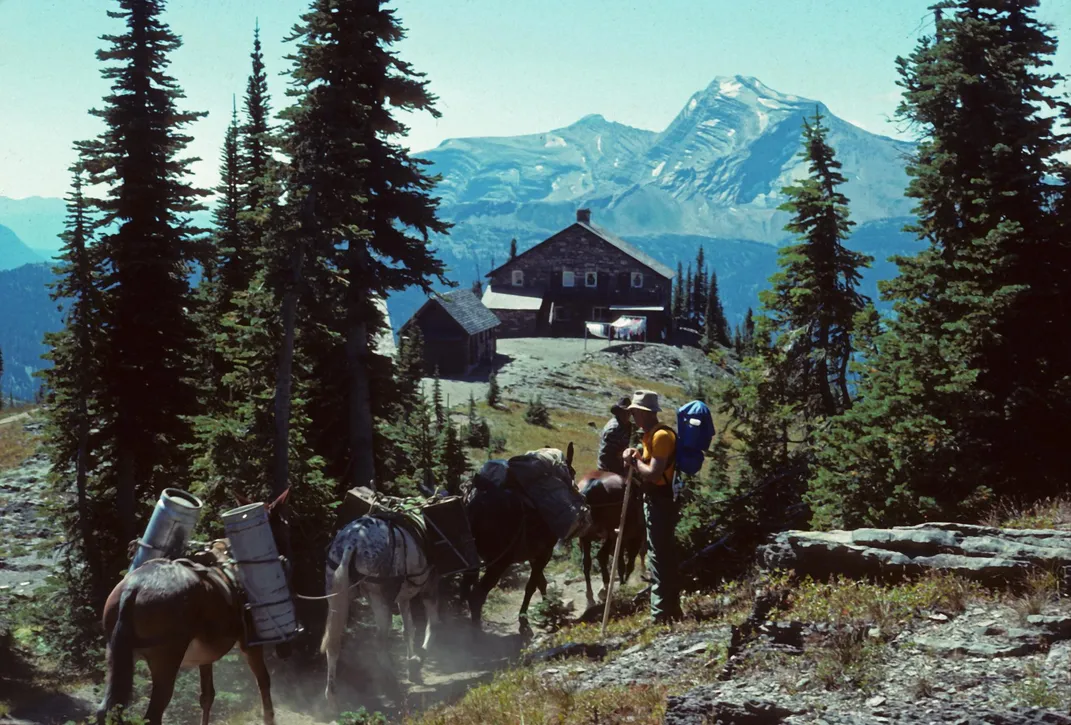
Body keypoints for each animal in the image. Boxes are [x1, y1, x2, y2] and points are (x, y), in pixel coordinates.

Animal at [93, 488, 289, 719]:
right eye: (284, 522)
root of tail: (132, 590)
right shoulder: (250, 642)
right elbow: (264, 685)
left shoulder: (206, 655)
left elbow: (207, 696)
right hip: (165, 661)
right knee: (153, 714)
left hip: (116, 655)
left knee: (106, 709)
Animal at [462, 441, 578, 629]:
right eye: (572, 472)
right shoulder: (544, 553)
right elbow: (532, 585)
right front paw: (526, 619)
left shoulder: (532, 554)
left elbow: (541, 582)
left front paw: (548, 609)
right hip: (498, 563)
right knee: (477, 596)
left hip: (471, 559)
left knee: (465, 589)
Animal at [578, 471, 642, 608]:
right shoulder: (628, 540)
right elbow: (624, 565)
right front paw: (622, 587)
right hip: (612, 534)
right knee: (603, 556)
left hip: (586, 537)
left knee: (587, 563)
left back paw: (591, 598)